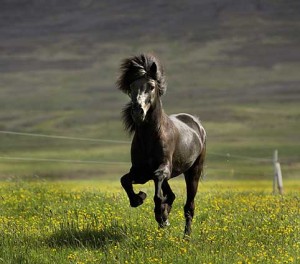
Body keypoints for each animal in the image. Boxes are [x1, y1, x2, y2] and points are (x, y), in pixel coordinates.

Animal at [118, 53, 206, 237]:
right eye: (131, 86)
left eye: (151, 86)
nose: (137, 112)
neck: (150, 137)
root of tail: (197, 124)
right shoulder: (140, 172)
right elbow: (124, 180)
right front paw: (139, 198)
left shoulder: (162, 168)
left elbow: (158, 194)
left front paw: (161, 215)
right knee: (171, 195)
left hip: (193, 172)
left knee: (189, 206)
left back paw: (186, 236)